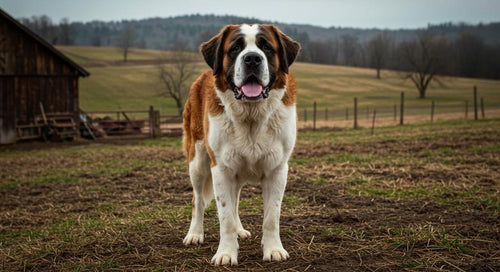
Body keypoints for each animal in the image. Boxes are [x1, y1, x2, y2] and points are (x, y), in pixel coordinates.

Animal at [182, 23, 298, 266]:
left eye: (266, 47)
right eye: (235, 48)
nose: (252, 58)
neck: (252, 115)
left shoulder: (277, 169)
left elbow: (271, 216)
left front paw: (273, 249)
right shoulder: (221, 169)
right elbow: (224, 215)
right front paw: (226, 253)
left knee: (234, 201)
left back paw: (240, 230)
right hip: (198, 161)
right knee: (198, 200)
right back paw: (195, 234)